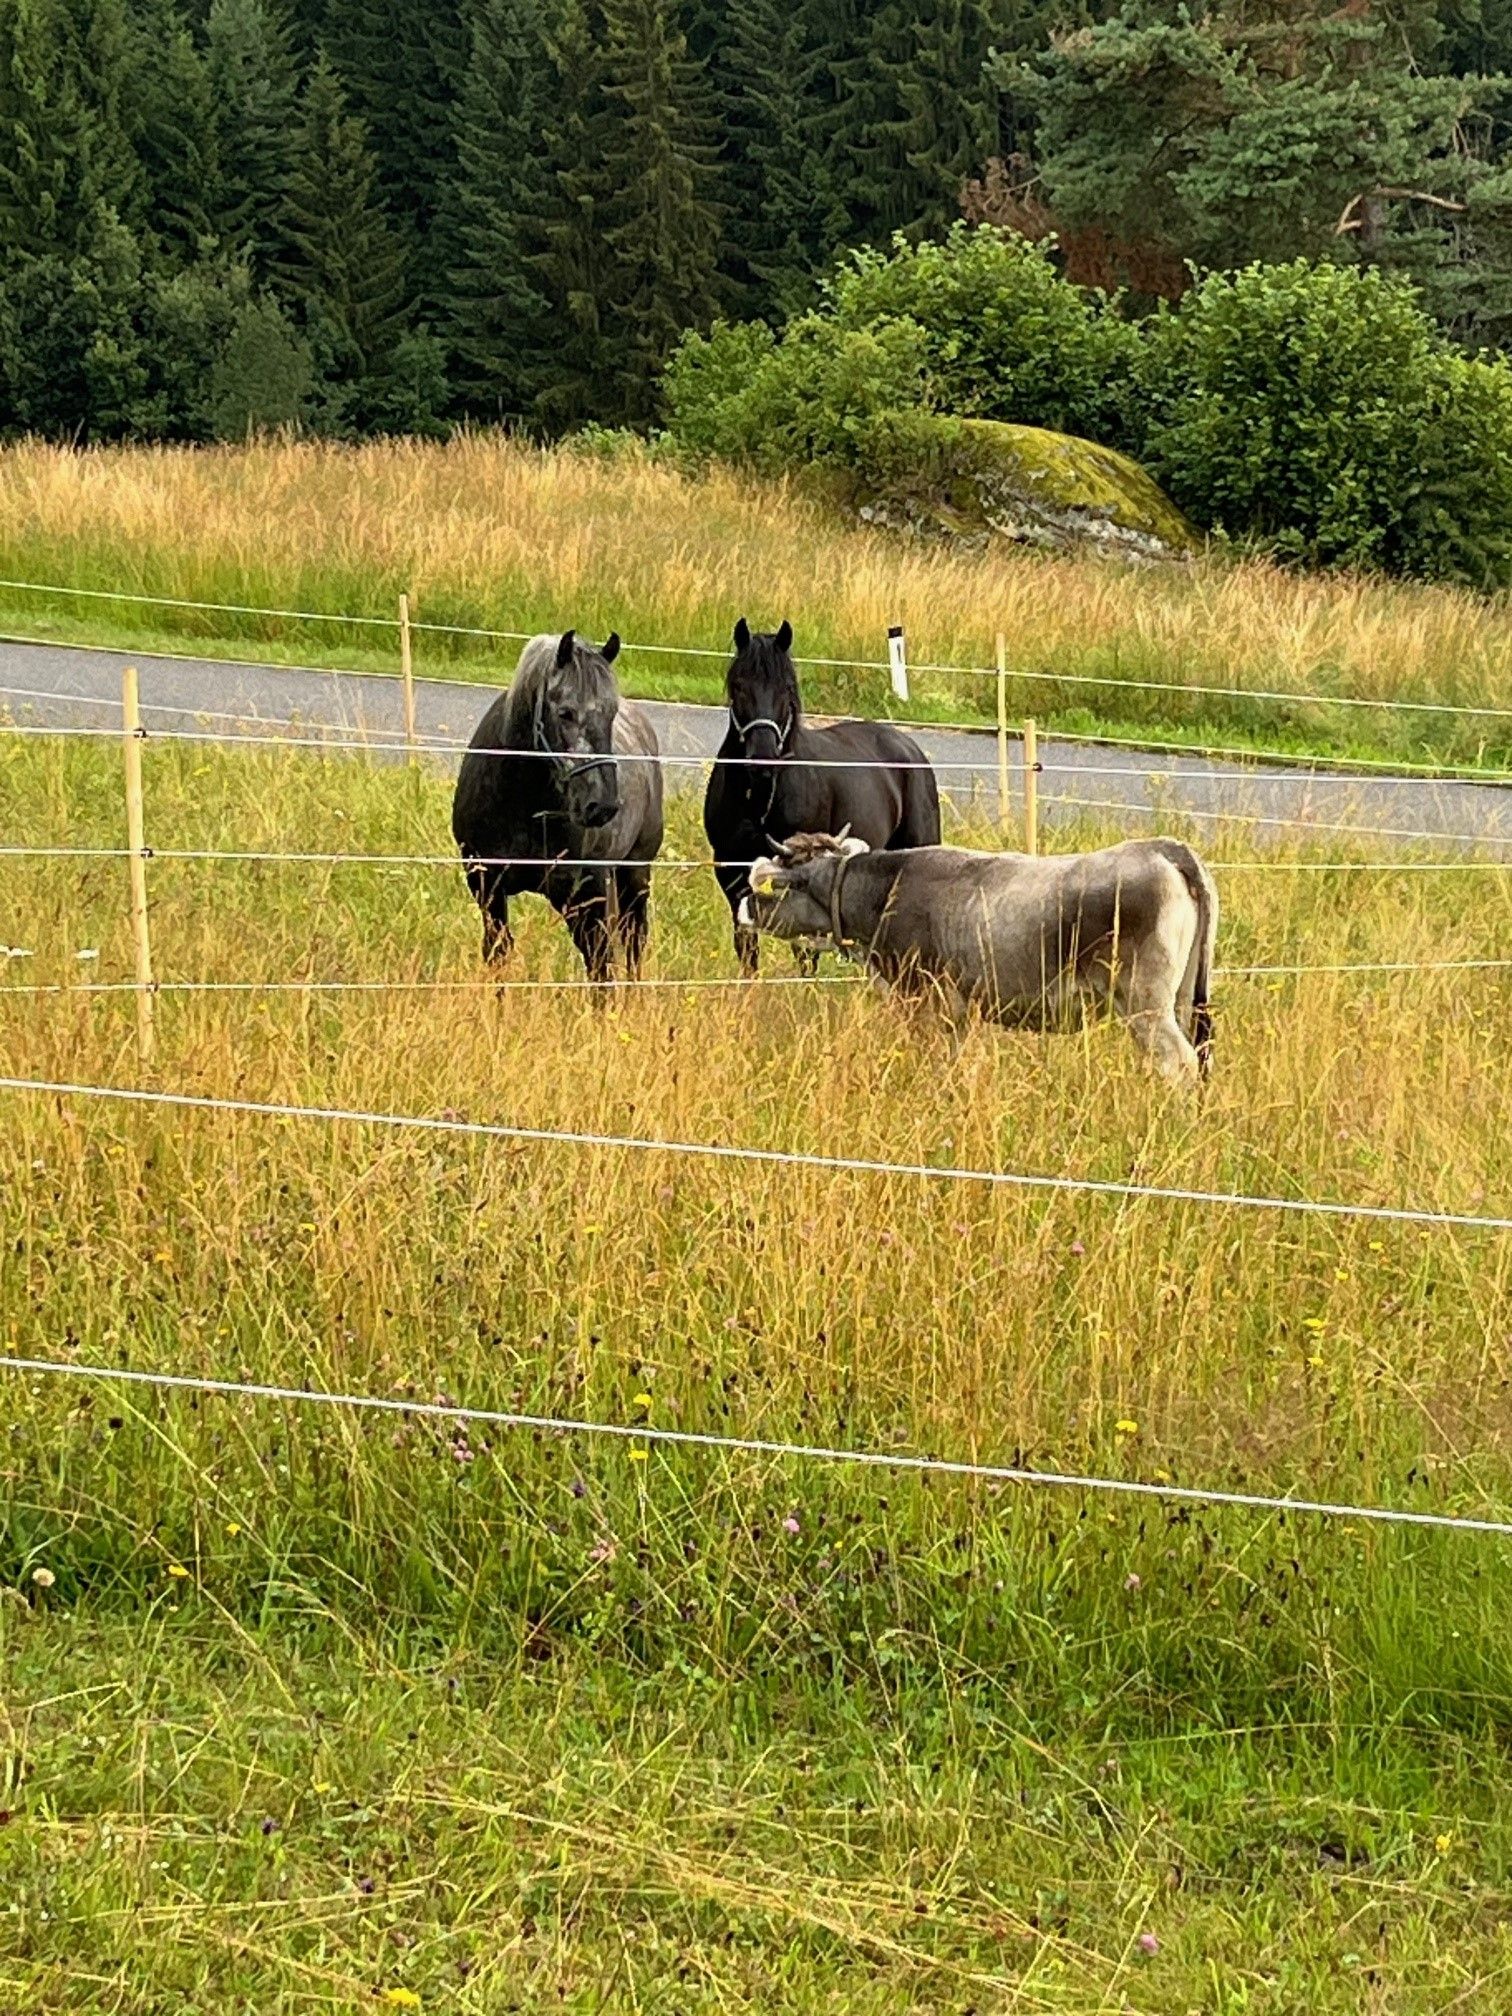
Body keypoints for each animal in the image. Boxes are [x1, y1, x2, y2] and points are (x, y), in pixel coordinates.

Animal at [451, 630, 664, 982]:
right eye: (565, 712)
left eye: (610, 714)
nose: (602, 806)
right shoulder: (486, 886)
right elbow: (498, 954)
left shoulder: (582, 895)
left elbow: (601, 966)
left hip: (633, 875)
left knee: (633, 941)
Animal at [702, 617, 942, 974]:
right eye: (738, 685)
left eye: (787, 688)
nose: (763, 761)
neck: (760, 800)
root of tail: (908, 747)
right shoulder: (730, 870)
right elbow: (746, 944)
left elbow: (805, 949)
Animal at [743, 832, 1217, 1083]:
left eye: (776, 887)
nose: (744, 906)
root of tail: (1162, 847)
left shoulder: (929, 1000)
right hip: (1181, 998)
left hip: (1146, 1003)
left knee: (1179, 1062)